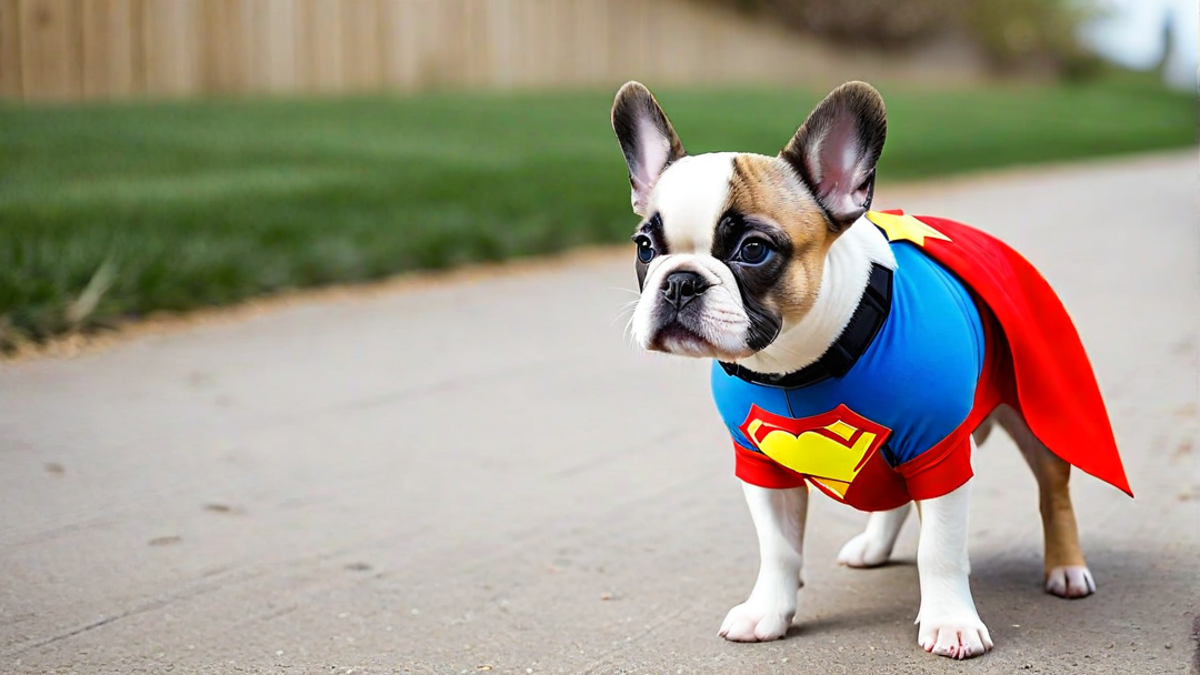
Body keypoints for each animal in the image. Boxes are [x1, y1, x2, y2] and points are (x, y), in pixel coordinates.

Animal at [614, 79, 1128, 658]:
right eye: (645, 247)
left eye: (753, 250)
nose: (680, 280)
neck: (800, 365)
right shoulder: (762, 465)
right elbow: (779, 549)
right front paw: (768, 611)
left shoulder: (939, 452)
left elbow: (940, 549)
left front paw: (950, 621)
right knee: (895, 496)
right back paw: (874, 547)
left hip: (1036, 414)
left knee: (1053, 494)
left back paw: (1066, 569)